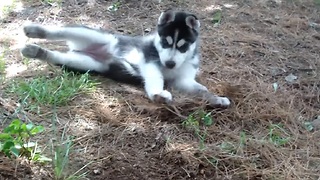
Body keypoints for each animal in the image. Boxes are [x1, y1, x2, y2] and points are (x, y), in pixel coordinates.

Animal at [20, 9, 230, 107]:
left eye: (183, 46)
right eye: (165, 42)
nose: (169, 63)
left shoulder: (183, 81)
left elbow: (202, 89)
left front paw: (217, 99)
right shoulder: (150, 59)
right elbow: (156, 78)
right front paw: (157, 94)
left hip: (87, 63)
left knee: (57, 56)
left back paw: (35, 51)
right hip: (97, 36)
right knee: (61, 30)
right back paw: (35, 30)